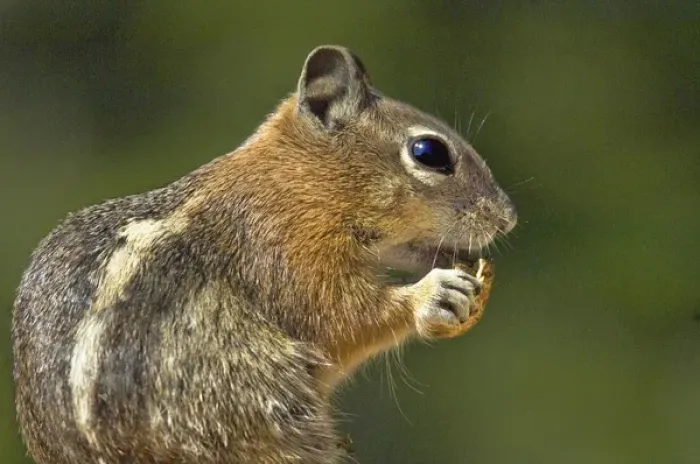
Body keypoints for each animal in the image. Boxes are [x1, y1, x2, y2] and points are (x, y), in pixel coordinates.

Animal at [12, 45, 517, 464]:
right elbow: (340, 318)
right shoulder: (286, 254)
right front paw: (433, 296)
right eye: (429, 151)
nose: (508, 217)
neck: (295, 183)